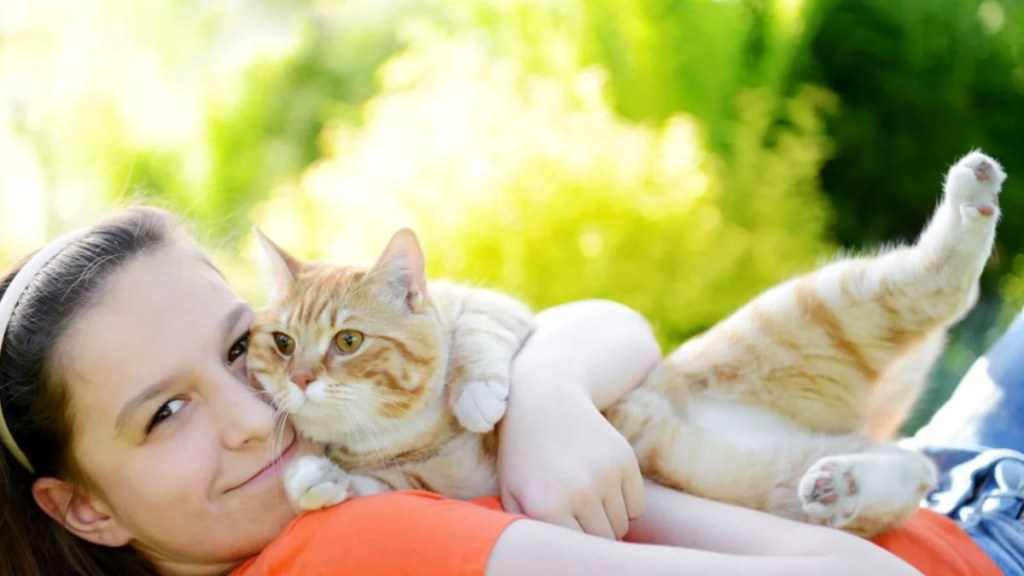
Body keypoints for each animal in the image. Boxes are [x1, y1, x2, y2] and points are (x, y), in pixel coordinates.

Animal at [249, 150, 1007, 537]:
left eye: (347, 340)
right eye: (281, 343)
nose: (302, 378)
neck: (401, 435)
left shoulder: (499, 309)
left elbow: (480, 343)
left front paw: (477, 395)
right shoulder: (436, 487)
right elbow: (363, 486)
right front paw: (316, 480)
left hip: (825, 306)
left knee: (946, 289)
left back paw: (972, 197)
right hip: (799, 481)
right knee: (914, 470)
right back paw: (843, 483)